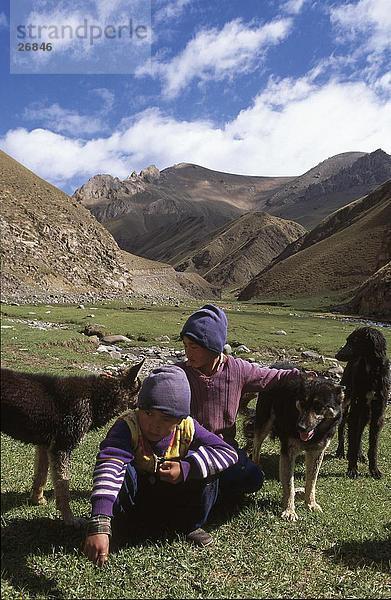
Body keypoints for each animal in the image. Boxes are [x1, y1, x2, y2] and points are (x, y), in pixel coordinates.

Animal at [0, 360, 144, 524]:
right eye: (140, 390)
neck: (95, 397)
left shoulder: (45, 446)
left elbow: (40, 476)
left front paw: (37, 500)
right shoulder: (61, 448)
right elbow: (63, 487)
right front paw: (69, 519)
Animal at [336, 326, 390, 480]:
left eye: (354, 342)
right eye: (347, 340)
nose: (337, 355)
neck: (371, 371)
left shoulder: (378, 414)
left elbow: (373, 447)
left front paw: (374, 470)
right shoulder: (355, 409)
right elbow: (352, 441)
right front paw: (352, 469)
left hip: (366, 411)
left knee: (359, 431)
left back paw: (360, 455)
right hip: (346, 402)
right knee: (343, 427)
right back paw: (341, 451)